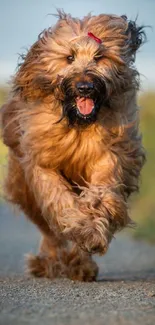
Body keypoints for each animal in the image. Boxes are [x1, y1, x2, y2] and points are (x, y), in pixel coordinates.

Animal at [0, 11, 145, 280]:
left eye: (99, 57)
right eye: (69, 57)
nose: (85, 87)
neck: (77, 124)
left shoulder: (109, 153)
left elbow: (101, 194)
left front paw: (92, 232)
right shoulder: (41, 162)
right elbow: (58, 199)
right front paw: (80, 226)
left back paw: (80, 264)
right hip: (24, 189)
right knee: (48, 229)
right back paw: (49, 262)